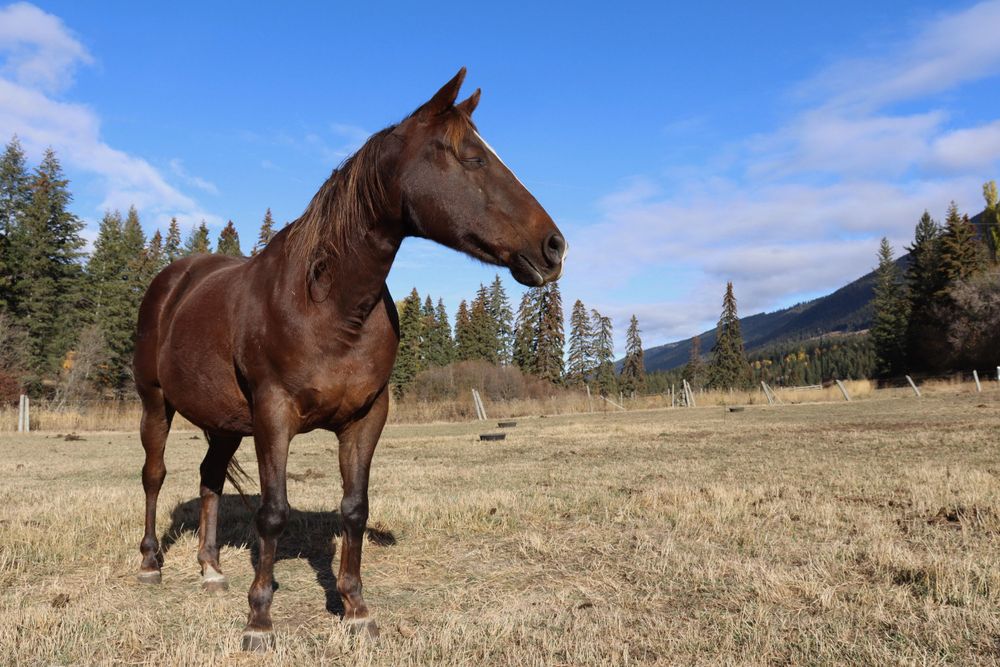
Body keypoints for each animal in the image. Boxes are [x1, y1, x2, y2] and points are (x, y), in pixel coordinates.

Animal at [132, 68, 566, 650]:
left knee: (209, 479)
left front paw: (357, 609)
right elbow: (273, 513)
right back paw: (151, 563)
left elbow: (354, 510)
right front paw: (259, 620)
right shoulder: (273, 413)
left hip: (223, 422)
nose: (554, 247)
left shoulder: (366, 417)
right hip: (155, 402)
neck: (330, 305)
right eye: (474, 158)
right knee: (154, 475)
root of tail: (172, 280)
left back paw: (211, 569)